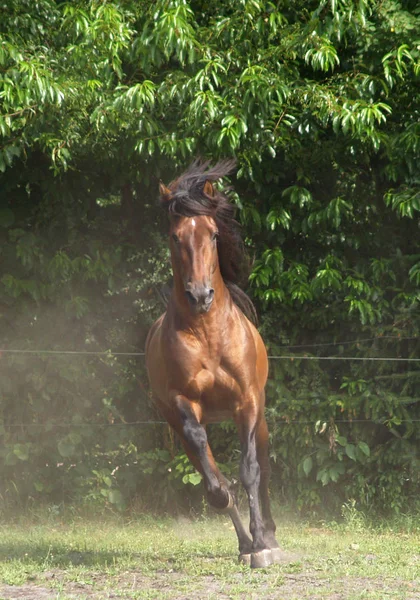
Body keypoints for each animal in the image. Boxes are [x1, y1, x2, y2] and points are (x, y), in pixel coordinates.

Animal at [146, 159, 280, 568]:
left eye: (215, 235)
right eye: (175, 237)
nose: (200, 295)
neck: (207, 334)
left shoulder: (247, 403)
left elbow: (251, 472)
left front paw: (263, 544)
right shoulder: (182, 406)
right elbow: (216, 484)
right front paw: (247, 540)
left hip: (261, 418)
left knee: (264, 469)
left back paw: (268, 536)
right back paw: (244, 542)